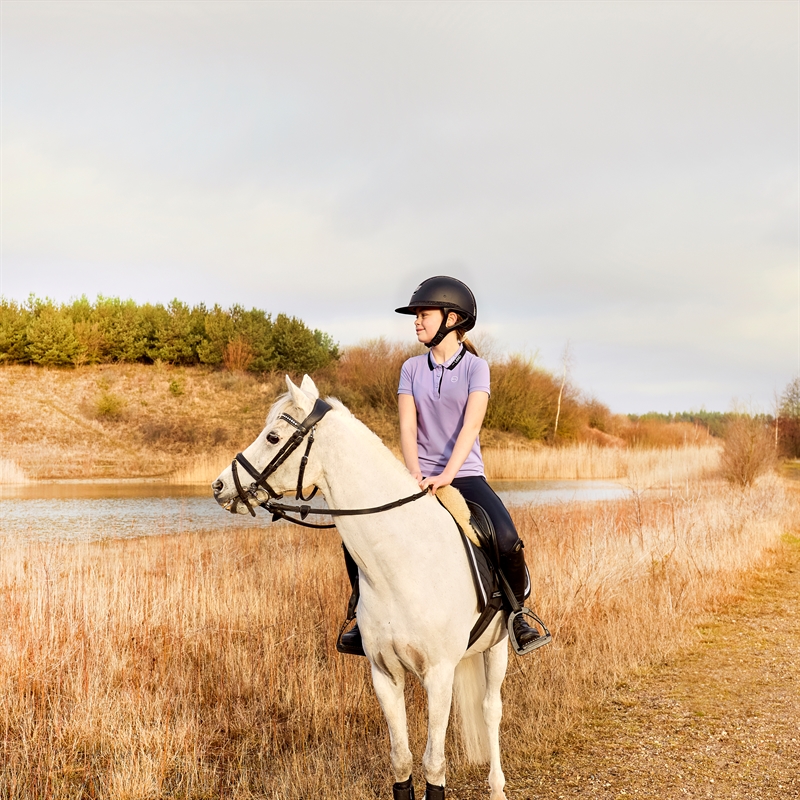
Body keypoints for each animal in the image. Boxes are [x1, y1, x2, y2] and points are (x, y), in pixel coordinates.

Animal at [212, 376, 510, 800]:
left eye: (273, 436)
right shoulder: (384, 674)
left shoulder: (439, 674)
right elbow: (401, 761)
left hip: (498, 646)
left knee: (491, 708)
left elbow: (434, 764)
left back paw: (497, 786)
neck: (402, 561)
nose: (219, 485)